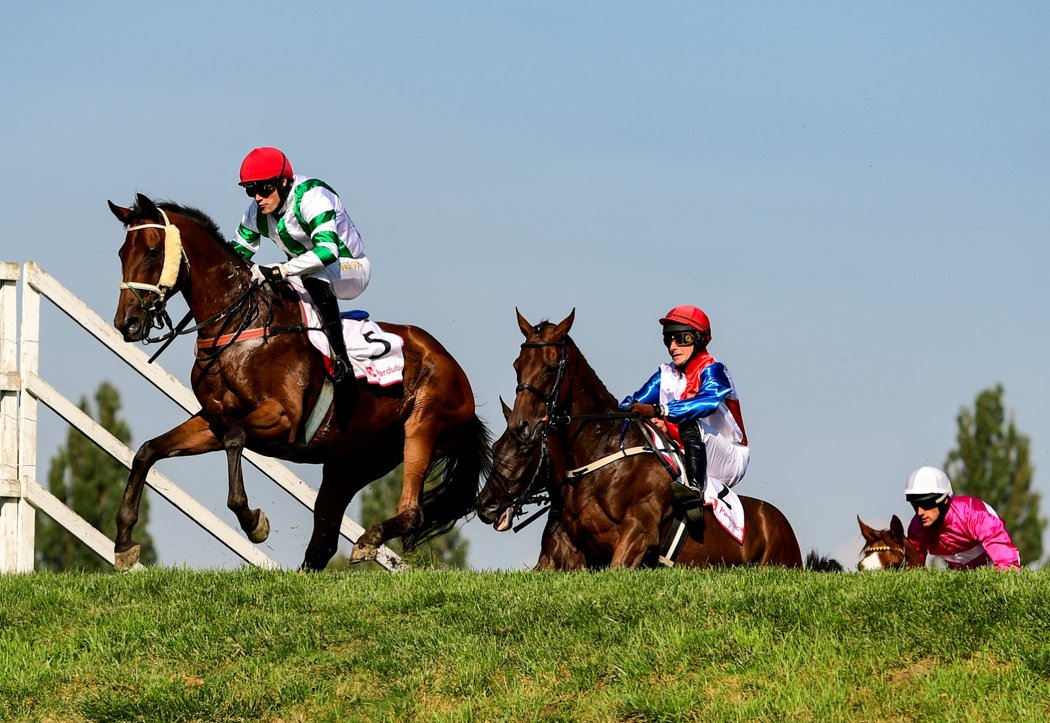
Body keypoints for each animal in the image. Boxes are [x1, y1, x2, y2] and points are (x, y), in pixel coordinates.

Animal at [106, 192, 491, 570]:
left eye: (153, 250)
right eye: (122, 253)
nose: (127, 323)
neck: (240, 325)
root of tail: (458, 375)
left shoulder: (283, 418)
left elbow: (235, 440)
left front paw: (253, 521)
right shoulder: (213, 421)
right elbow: (147, 451)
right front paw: (124, 542)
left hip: (422, 429)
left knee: (411, 512)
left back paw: (369, 540)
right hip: (351, 463)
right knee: (324, 541)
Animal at [474, 310, 802, 570]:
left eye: (551, 367)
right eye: (517, 364)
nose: (485, 505)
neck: (598, 457)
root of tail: (779, 522)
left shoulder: (638, 535)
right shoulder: (567, 548)